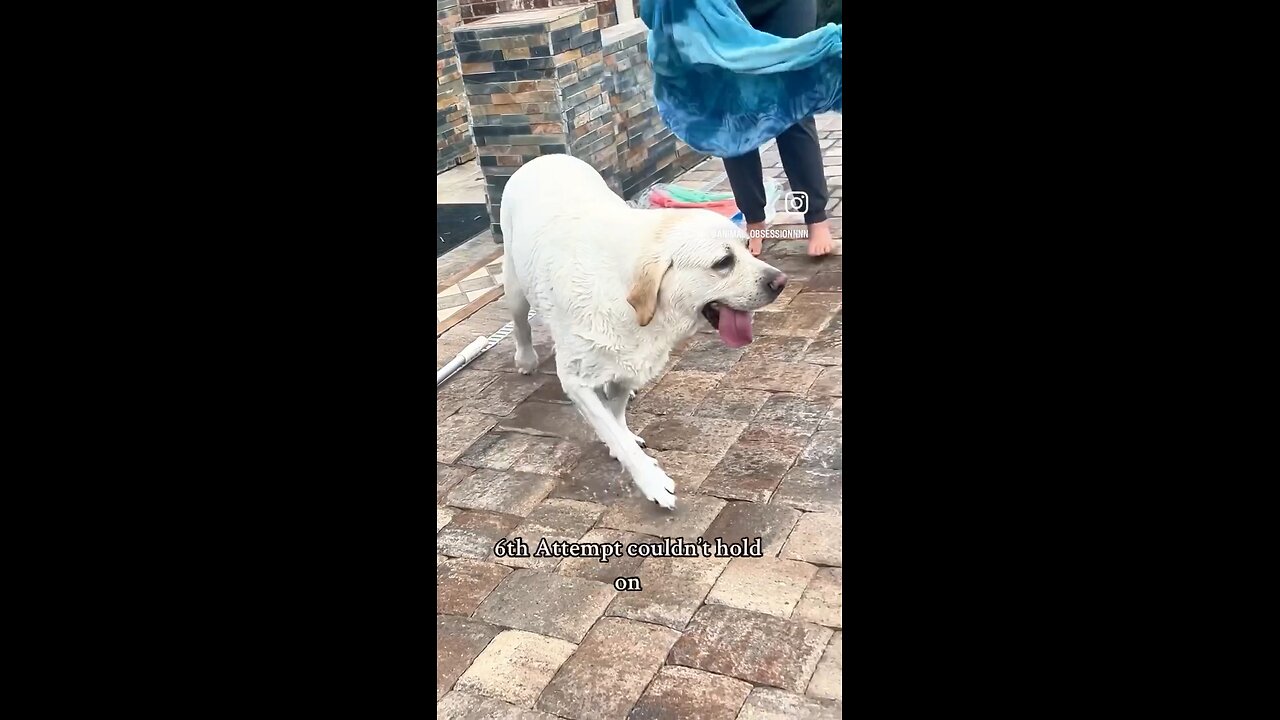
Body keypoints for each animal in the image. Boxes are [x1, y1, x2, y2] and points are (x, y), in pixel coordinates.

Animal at [501, 154, 788, 507]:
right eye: (723, 262)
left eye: (748, 246)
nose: (781, 282)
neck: (631, 301)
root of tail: (546, 156)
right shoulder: (574, 381)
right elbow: (610, 425)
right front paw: (651, 480)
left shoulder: (629, 365)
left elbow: (615, 414)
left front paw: (620, 436)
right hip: (514, 285)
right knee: (520, 324)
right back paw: (526, 359)